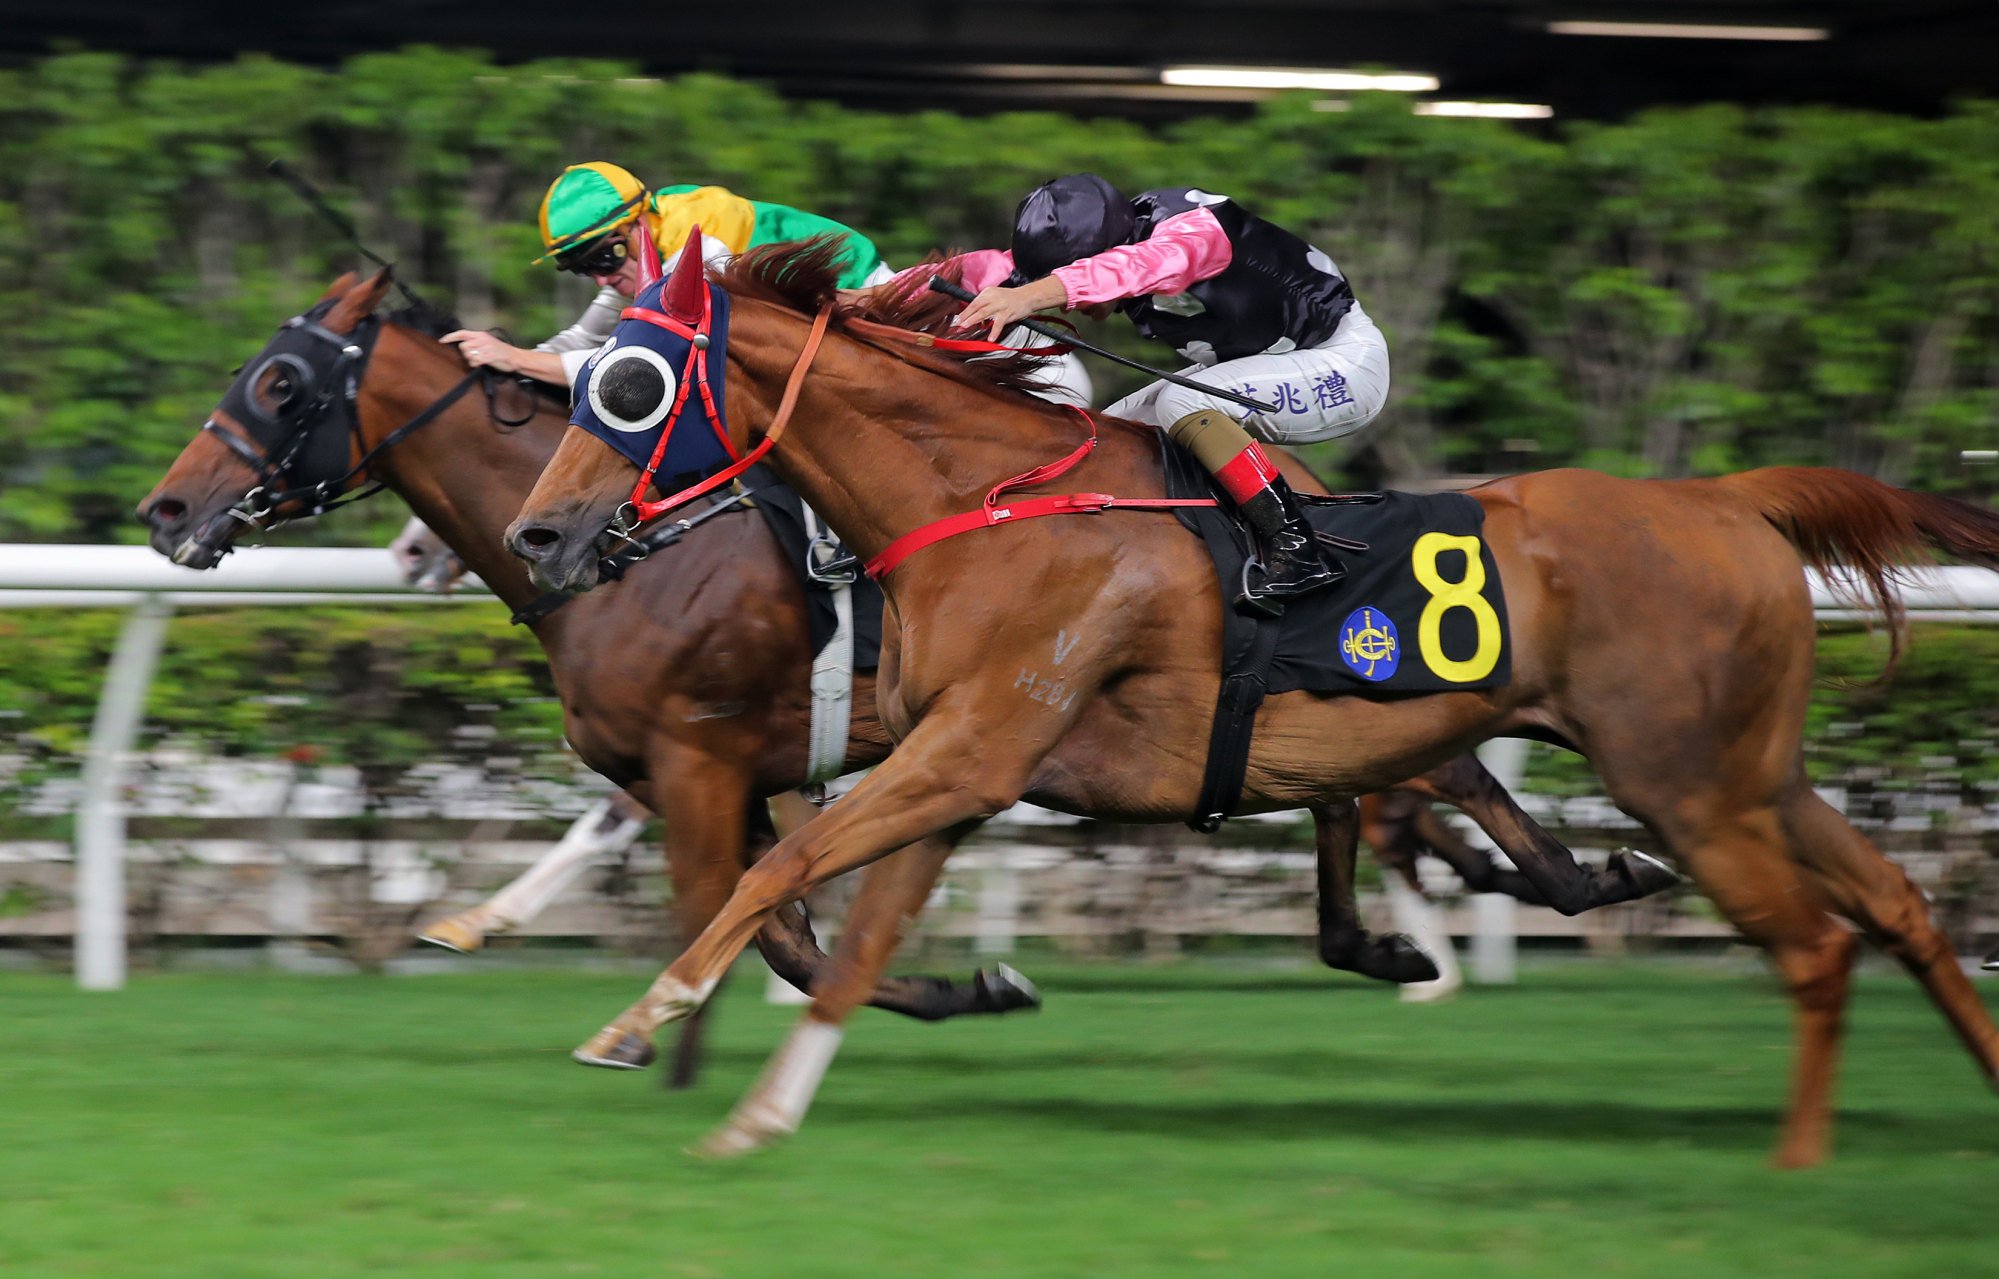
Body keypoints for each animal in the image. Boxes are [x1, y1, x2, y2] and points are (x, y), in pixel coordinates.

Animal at [128, 275, 1623, 1071]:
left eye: (277, 382)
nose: (164, 510)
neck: (648, 547)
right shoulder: (720, 767)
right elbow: (779, 920)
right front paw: (959, 985)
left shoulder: (711, 753)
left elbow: (754, 910)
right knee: (1377, 790)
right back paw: (1469, 910)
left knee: (1423, 780)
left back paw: (1521, 893)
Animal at [515, 241, 1999, 1167]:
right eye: (580, 374)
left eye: (632, 383)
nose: (540, 535)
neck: (983, 500)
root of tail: (1723, 500)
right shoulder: (961, 766)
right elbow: (853, 934)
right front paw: (758, 1117)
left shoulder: (968, 747)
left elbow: (781, 870)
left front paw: (634, 1023)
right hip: (1755, 774)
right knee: (1895, 906)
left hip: (1686, 782)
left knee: (1814, 947)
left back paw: (1790, 1156)